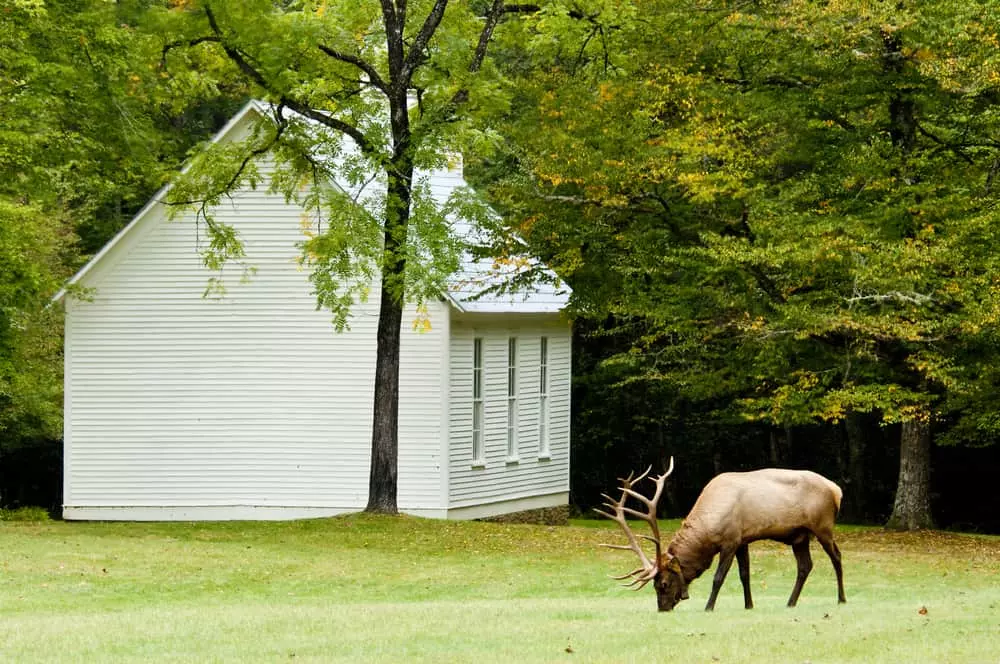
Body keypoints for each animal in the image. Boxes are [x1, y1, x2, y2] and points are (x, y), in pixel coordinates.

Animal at [596, 458, 846, 612]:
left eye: (664, 583)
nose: (663, 609)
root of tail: (837, 490)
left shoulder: (730, 541)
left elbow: (718, 577)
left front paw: (708, 607)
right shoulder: (743, 540)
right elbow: (745, 575)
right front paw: (749, 605)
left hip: (823, 526)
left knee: (836, 557)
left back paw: (841, 599)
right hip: (799, 535)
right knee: (805, 565)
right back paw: (790, 602)